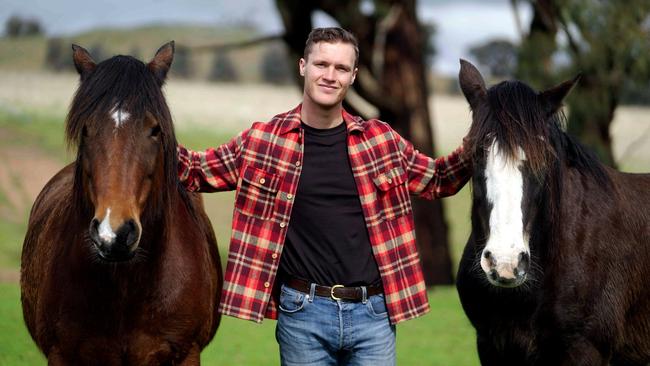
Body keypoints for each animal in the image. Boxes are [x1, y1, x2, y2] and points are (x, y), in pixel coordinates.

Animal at [20, 42, 223, 364]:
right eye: (86, 129)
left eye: (155, 129)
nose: (113, 234)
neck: (127, 287)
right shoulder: (61, 354)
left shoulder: (186, 353)